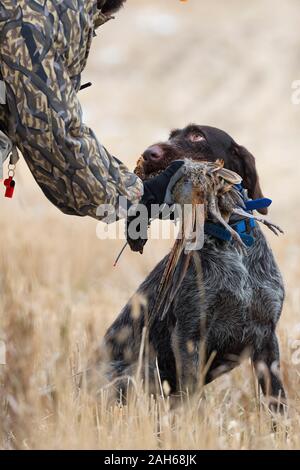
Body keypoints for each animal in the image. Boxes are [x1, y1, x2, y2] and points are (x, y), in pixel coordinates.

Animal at [103, 125, 286, 412]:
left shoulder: (267, 337)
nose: (149, 153)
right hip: (131, 374)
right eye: (172, 136)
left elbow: (277, 400)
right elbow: (190, 397)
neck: (230, 245)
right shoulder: (189, 338)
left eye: (197, 136)